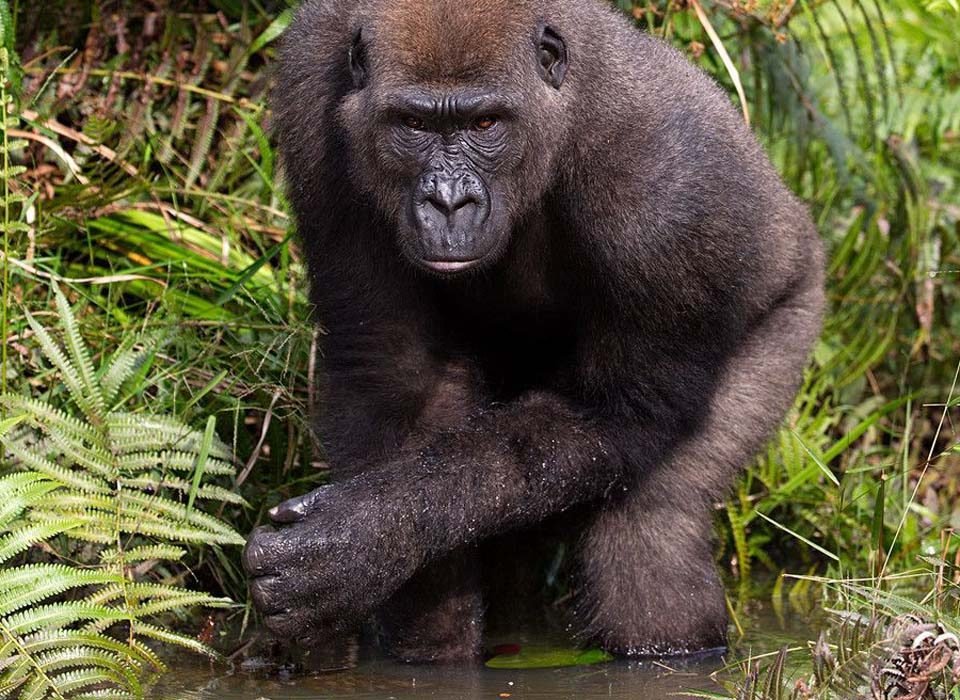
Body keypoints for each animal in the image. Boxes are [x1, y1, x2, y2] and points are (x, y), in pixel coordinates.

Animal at [242, 0, 825, 662]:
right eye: (413, 124)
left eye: (486, 122)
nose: (448, 203)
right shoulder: (309, 94)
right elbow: (399, 376)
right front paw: (392, 573)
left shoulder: (668, 196)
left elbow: (620, 410)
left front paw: (359, 540)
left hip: (792, 318)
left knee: (650, 528)